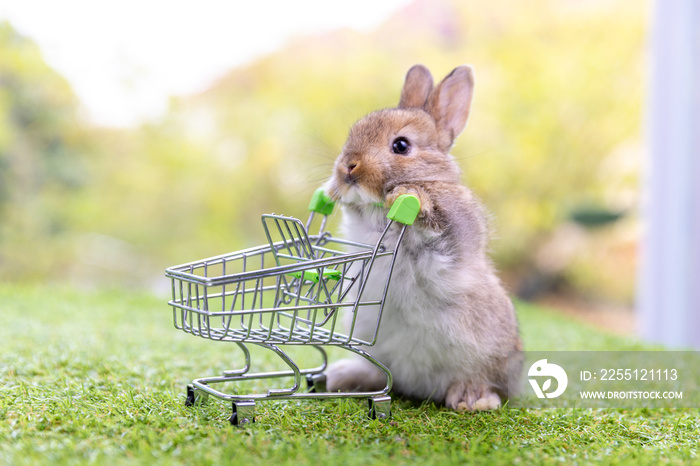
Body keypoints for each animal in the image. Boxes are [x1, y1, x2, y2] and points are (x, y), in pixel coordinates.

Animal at [322, 64, 520, 412]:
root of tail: (420, 387)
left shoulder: (455, 227)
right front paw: (331, 191)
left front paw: (408, 195)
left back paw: (472, 399)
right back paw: (342, 377)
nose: (348, 167)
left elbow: (437, 217)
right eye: (353, 133)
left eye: (401, 146)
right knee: (384, 375)